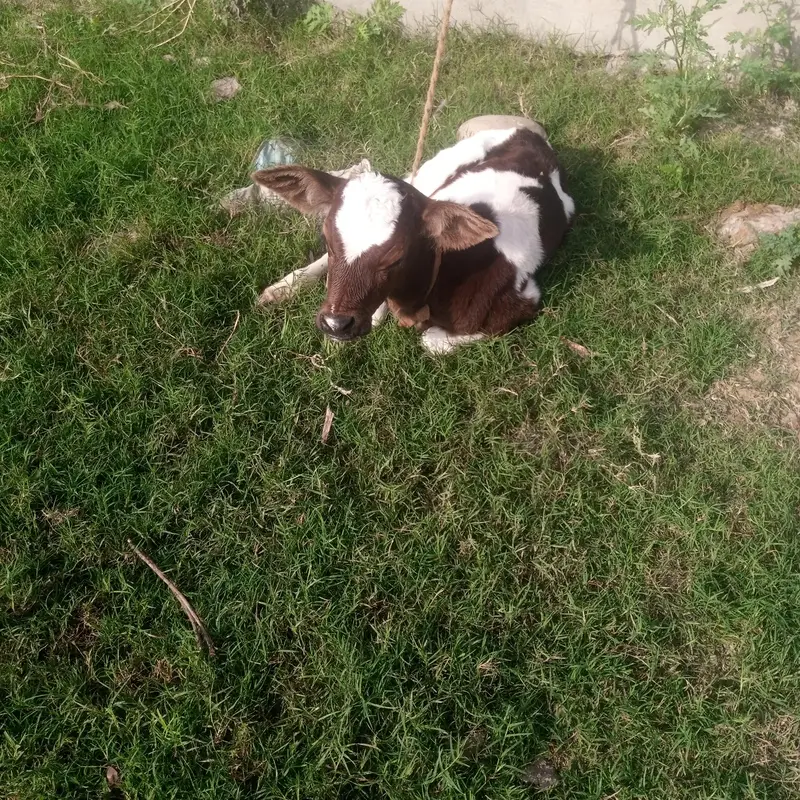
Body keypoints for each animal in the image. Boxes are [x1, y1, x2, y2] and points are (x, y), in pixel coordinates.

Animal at [252, 117, 574, 354]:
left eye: (396, 257)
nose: (336, 323)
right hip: (436, 167)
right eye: (328, 241)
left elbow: (431, 341)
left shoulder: (524, 300)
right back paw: (283, 287)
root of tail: (530, 134)